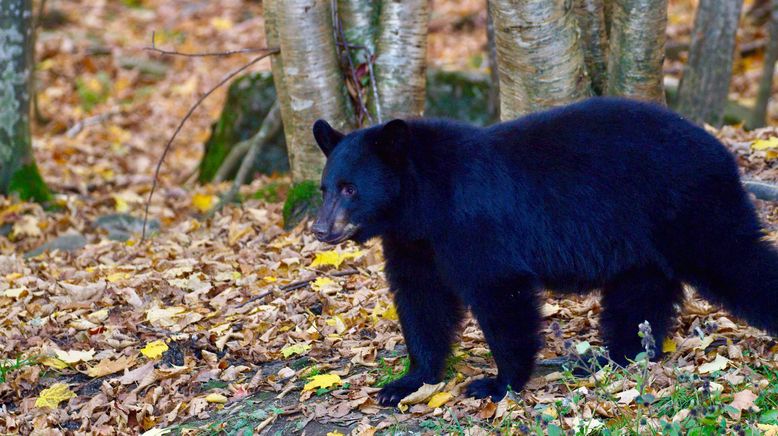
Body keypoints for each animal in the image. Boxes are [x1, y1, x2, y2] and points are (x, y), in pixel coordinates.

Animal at [310, 98, 776, 406]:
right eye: (325, 187)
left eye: (351, 189)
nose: (319, 229)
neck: (422, 202)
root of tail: (722, 151)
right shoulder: (414, 241)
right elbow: (421, 299)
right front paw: (407, 382)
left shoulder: (473, 225)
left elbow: (499, 292)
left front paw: (497, 384)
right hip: (641, 240)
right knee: (639, 295)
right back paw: (611, 357)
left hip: (687, 206)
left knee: (735, 258)